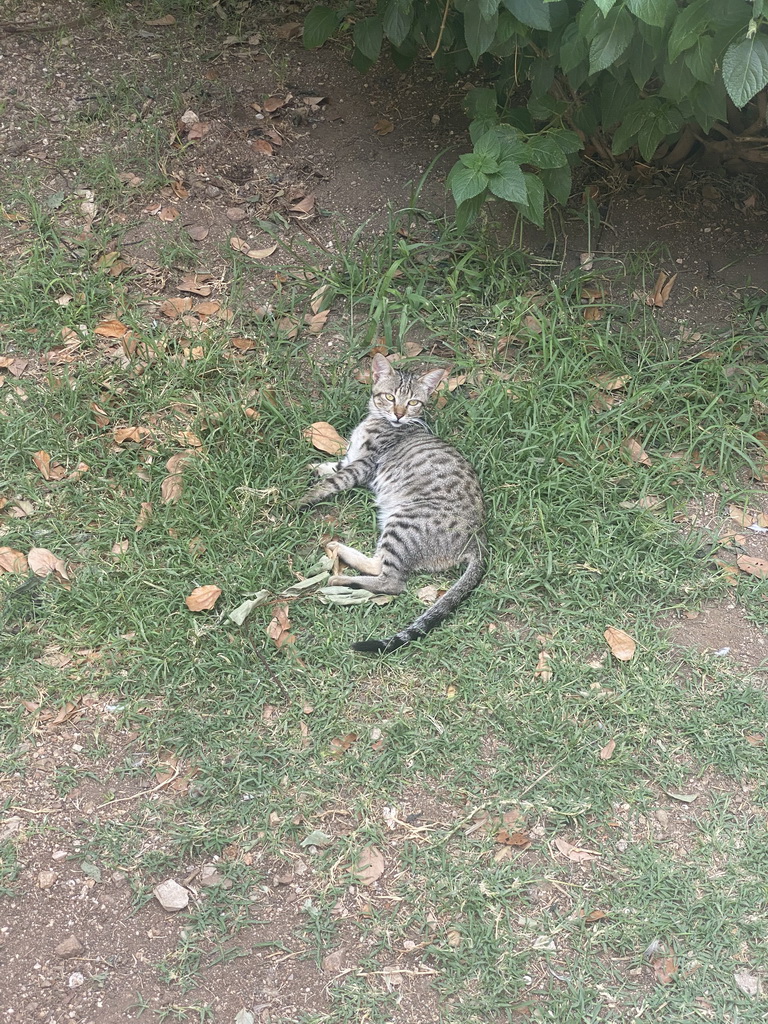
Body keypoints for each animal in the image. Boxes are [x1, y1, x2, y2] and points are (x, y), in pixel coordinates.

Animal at [301, 354, 487, 655]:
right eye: (389, 397)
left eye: (413, 402)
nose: (398, 414)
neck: (377, 421)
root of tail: (480, 540)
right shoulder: (351, 458)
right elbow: (331, 467)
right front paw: (309, 468)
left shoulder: (363, 466)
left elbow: (331, 482)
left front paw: (300, 500)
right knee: (379, 565)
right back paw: (338, 549)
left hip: (403, 523)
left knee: (392, 581)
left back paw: (340, 579)